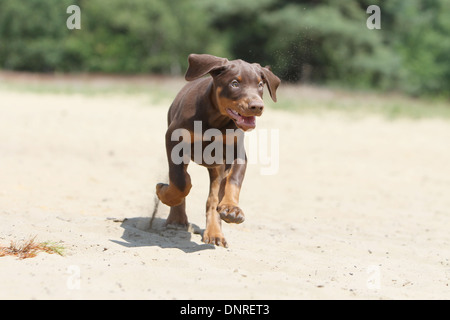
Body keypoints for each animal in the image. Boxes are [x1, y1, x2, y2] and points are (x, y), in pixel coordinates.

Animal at [156, 53, 280, 248]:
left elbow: (233, 181)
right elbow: (180, 181)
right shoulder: (173, 139)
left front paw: (232, 208)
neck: (216, 119)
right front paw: (165, 194)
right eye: (234, 83)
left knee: (213, 199)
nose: (257, 106)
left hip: (217, 167)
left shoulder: (237, 153)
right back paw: (177, 219)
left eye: (260, 84)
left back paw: (215, 232)